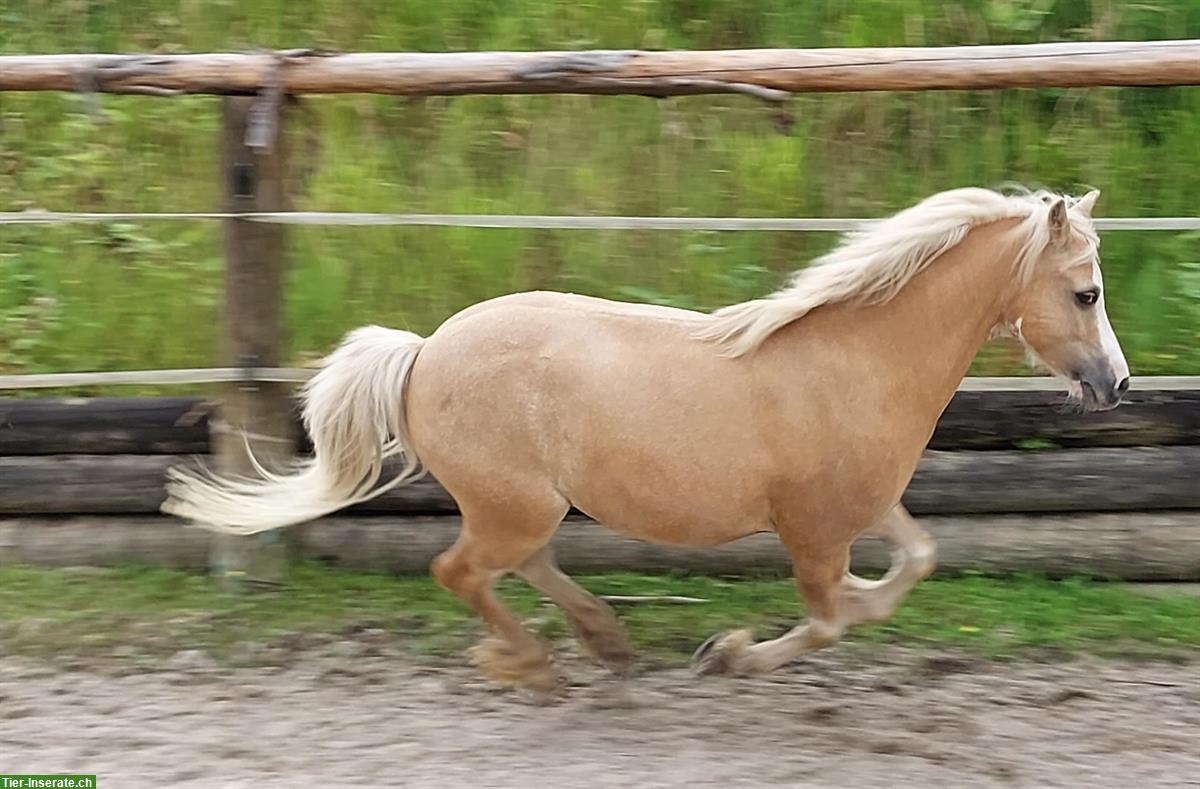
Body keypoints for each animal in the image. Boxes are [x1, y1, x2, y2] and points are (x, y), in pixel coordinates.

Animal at [164, 186, 1129, 693]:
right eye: (1085, 292)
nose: (1116, 384)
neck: (856, 359)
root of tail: (422, 351)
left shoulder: (866, 505)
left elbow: (913, 563)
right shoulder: (814, 531)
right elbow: (827, 618)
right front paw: (728, 652)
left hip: (527, 505)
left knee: (518, 565)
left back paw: (604, 639)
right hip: (512, 505)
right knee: (462, 570)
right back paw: (529, 659)